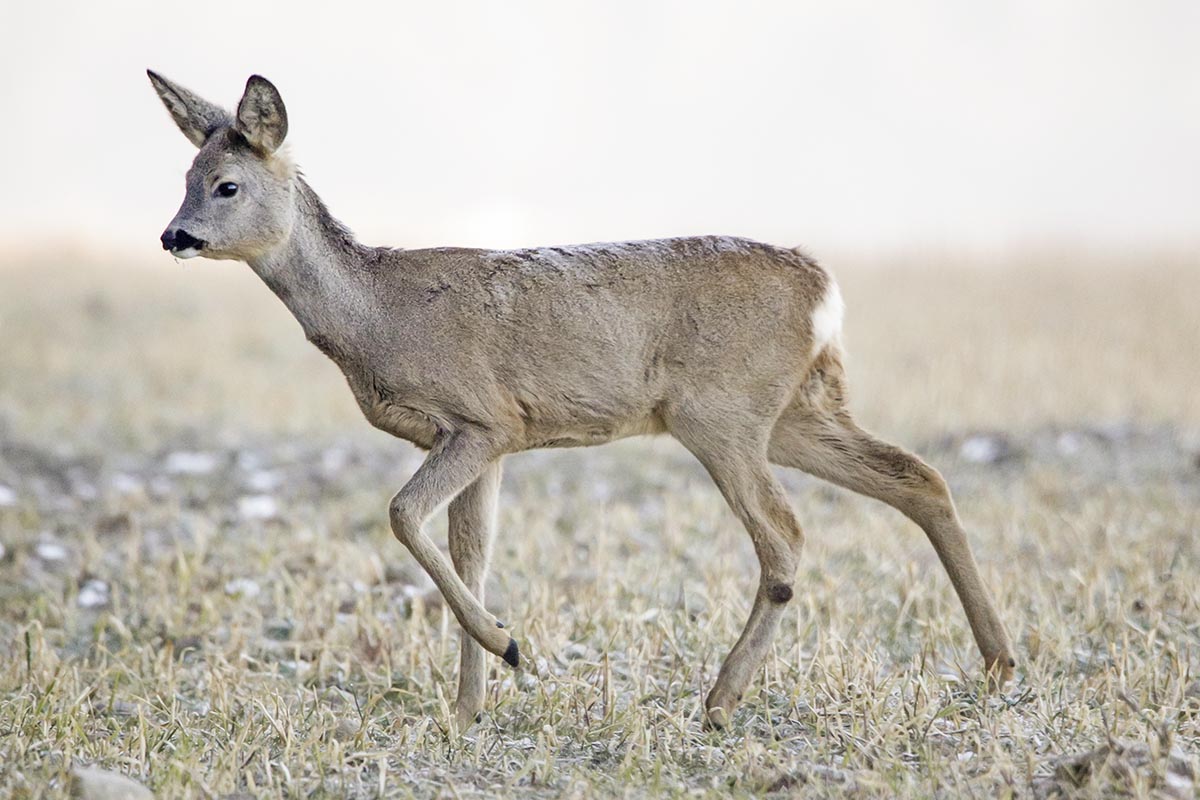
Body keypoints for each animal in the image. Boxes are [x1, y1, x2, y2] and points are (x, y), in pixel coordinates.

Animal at [147, 71, 1012, 729]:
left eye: (226, 185)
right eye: (184, 179)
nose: (173, 236)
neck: (377, 316)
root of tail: (824, 288)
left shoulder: (483, 419)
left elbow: (401, 515)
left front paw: (508, 648)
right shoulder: (481, 442)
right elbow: (472, 552)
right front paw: (469, 707)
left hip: (721, 413)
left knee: (786, 536)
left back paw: (720, 699)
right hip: (795, 410)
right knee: (918, 476)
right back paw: (1000, 662)